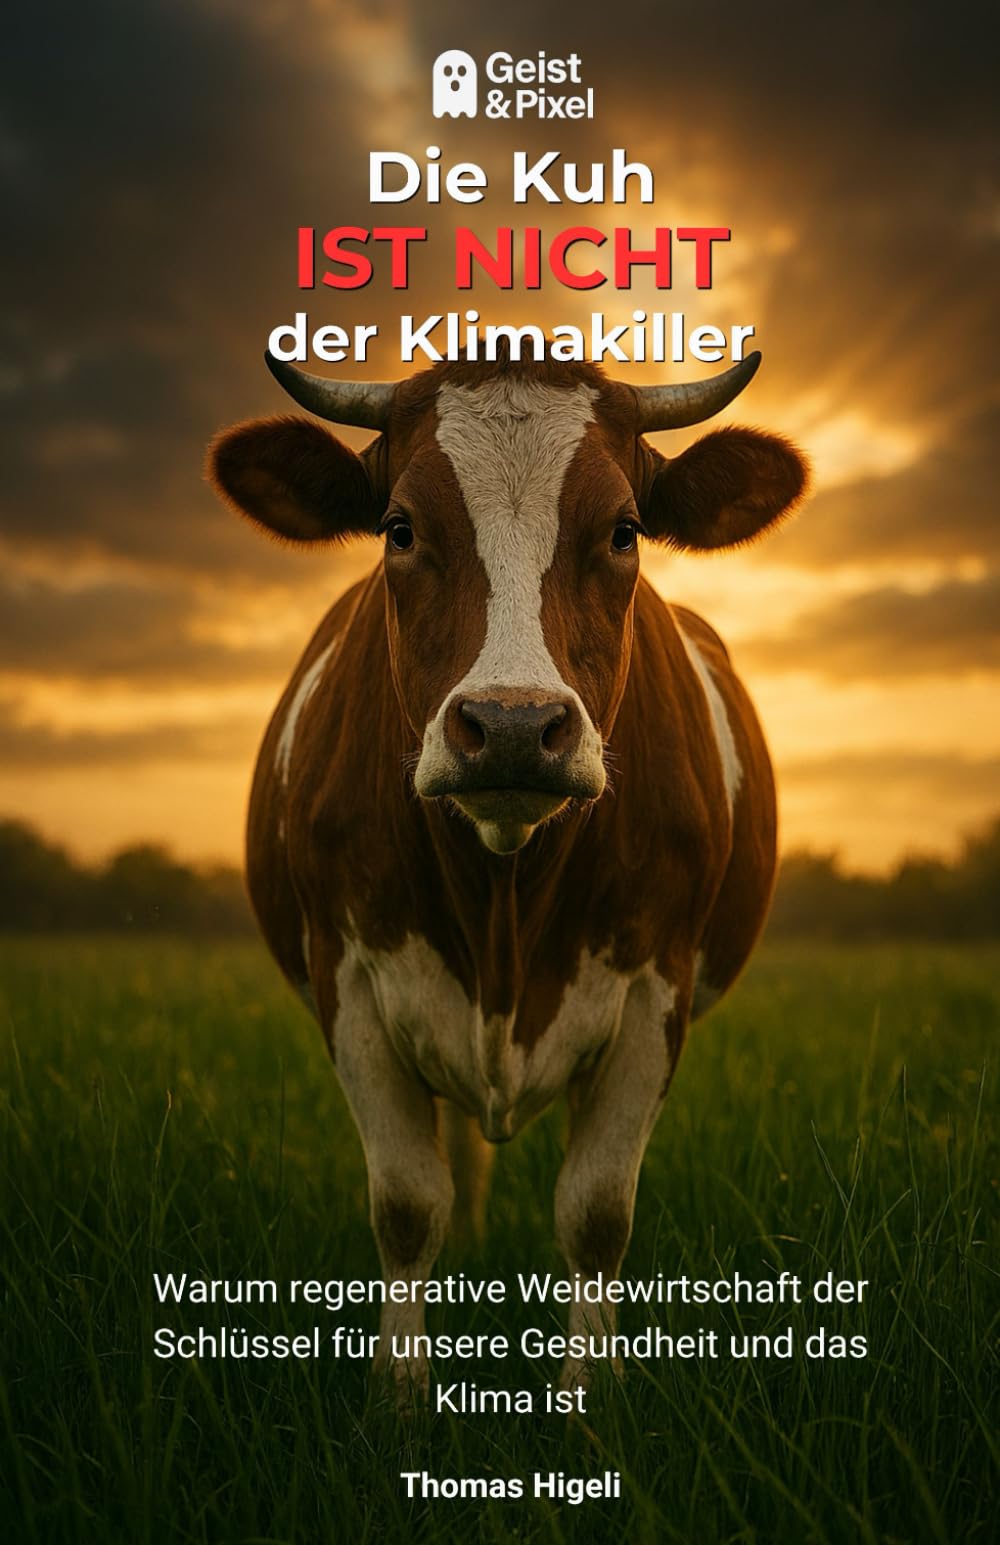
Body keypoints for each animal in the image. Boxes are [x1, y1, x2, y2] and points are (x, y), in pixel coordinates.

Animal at [207, 348, 808, 1400]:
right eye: (400, 528)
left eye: (624, 530)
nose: (516, 725)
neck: (503, 901)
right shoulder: (350, 979)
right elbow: (408, 1203)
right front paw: (401, 1397)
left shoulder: (656, 989)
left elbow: (596, 1213)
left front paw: (586, 1401)